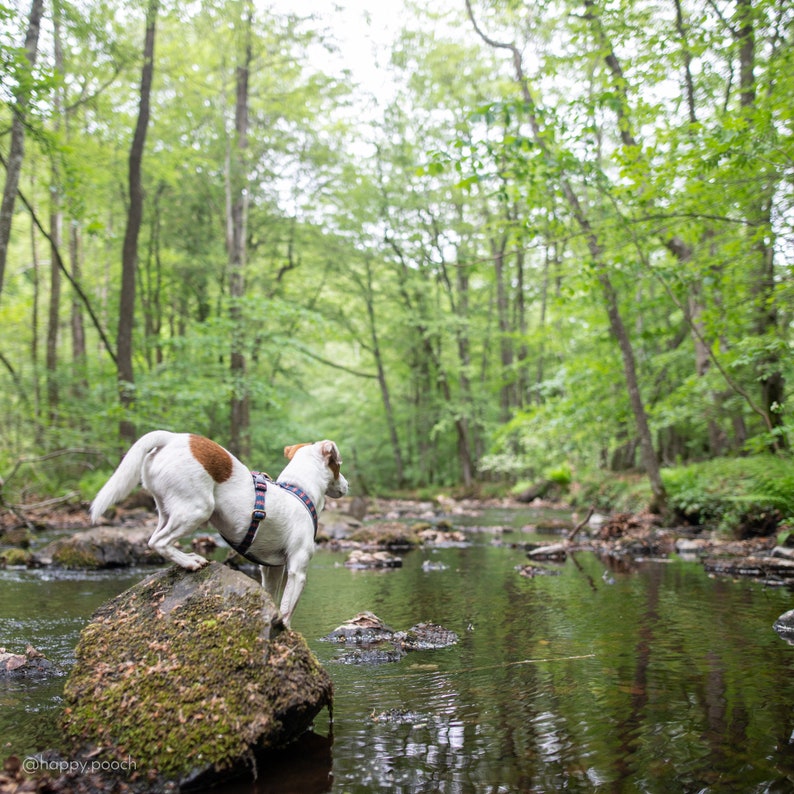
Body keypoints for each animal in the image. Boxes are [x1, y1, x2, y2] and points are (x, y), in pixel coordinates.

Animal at [89, 434, 346, 624]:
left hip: (167, 510)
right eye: (338, 465)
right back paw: (190, 561)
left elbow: (273, 598)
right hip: (197, 509)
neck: (298, 490)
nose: (347, 484)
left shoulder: (271, 569)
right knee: (158, 542)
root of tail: (172, 437)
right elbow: (286, 611)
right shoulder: (297, 569)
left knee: (155, 538)